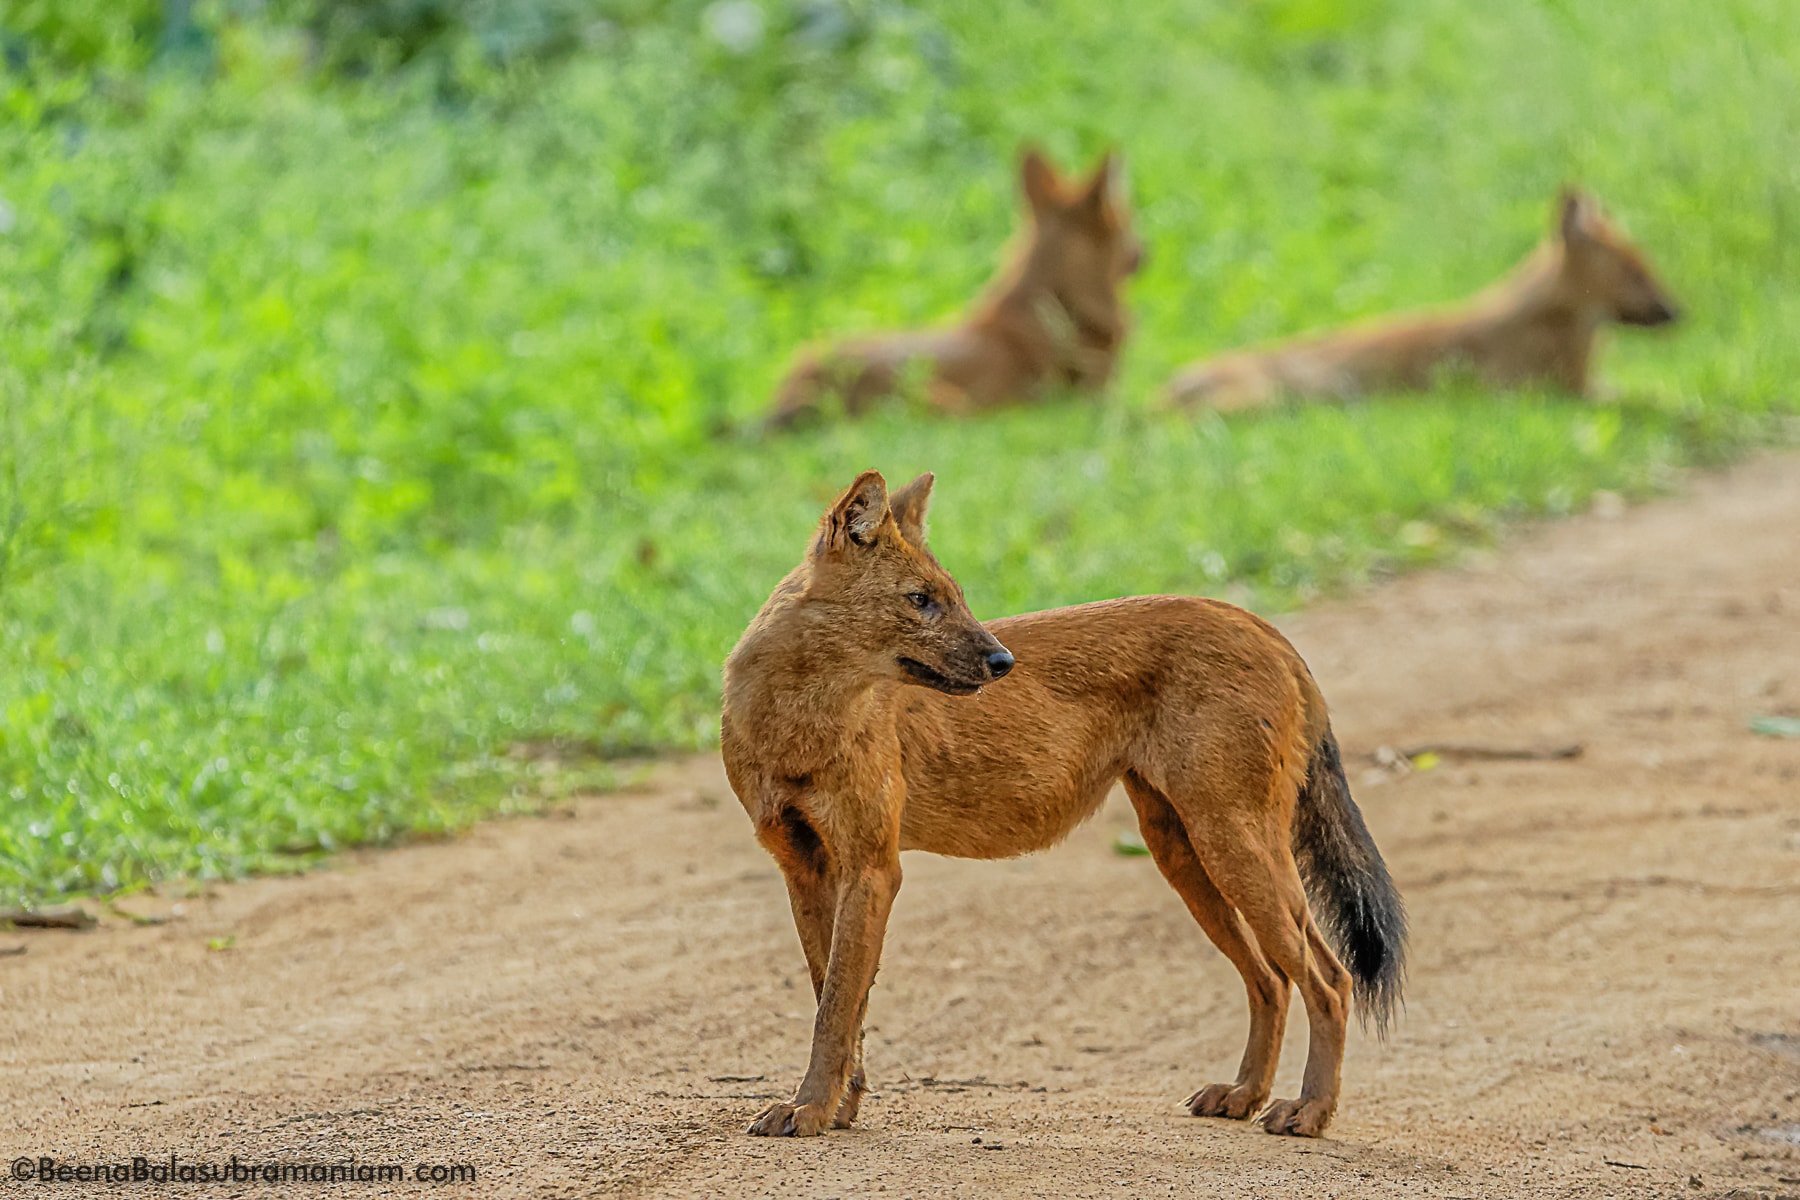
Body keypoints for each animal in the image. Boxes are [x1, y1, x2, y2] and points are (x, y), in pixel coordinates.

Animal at [716, 474, 1404, 1144]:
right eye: (921, 599)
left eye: (955, 595)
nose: (1003, 661)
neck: (795, 724)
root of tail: (1259, 623)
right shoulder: (805, 868)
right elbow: (833, 997)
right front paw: (840, 1106)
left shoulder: (873, 868)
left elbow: (836, 1006)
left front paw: (810, 1110)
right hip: (1184, 854)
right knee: (1271, 979)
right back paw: (1243, 1096)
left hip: (1233, 844)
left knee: (1330, 979)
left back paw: (1307, 1112)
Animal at [1173, 188, 1677, 413]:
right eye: (1635, 271)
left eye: (1647, 266)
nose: (1678, 310)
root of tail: (1172, 384)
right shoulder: (1535, 392)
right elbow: (1648, 397)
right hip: (1258, 399)